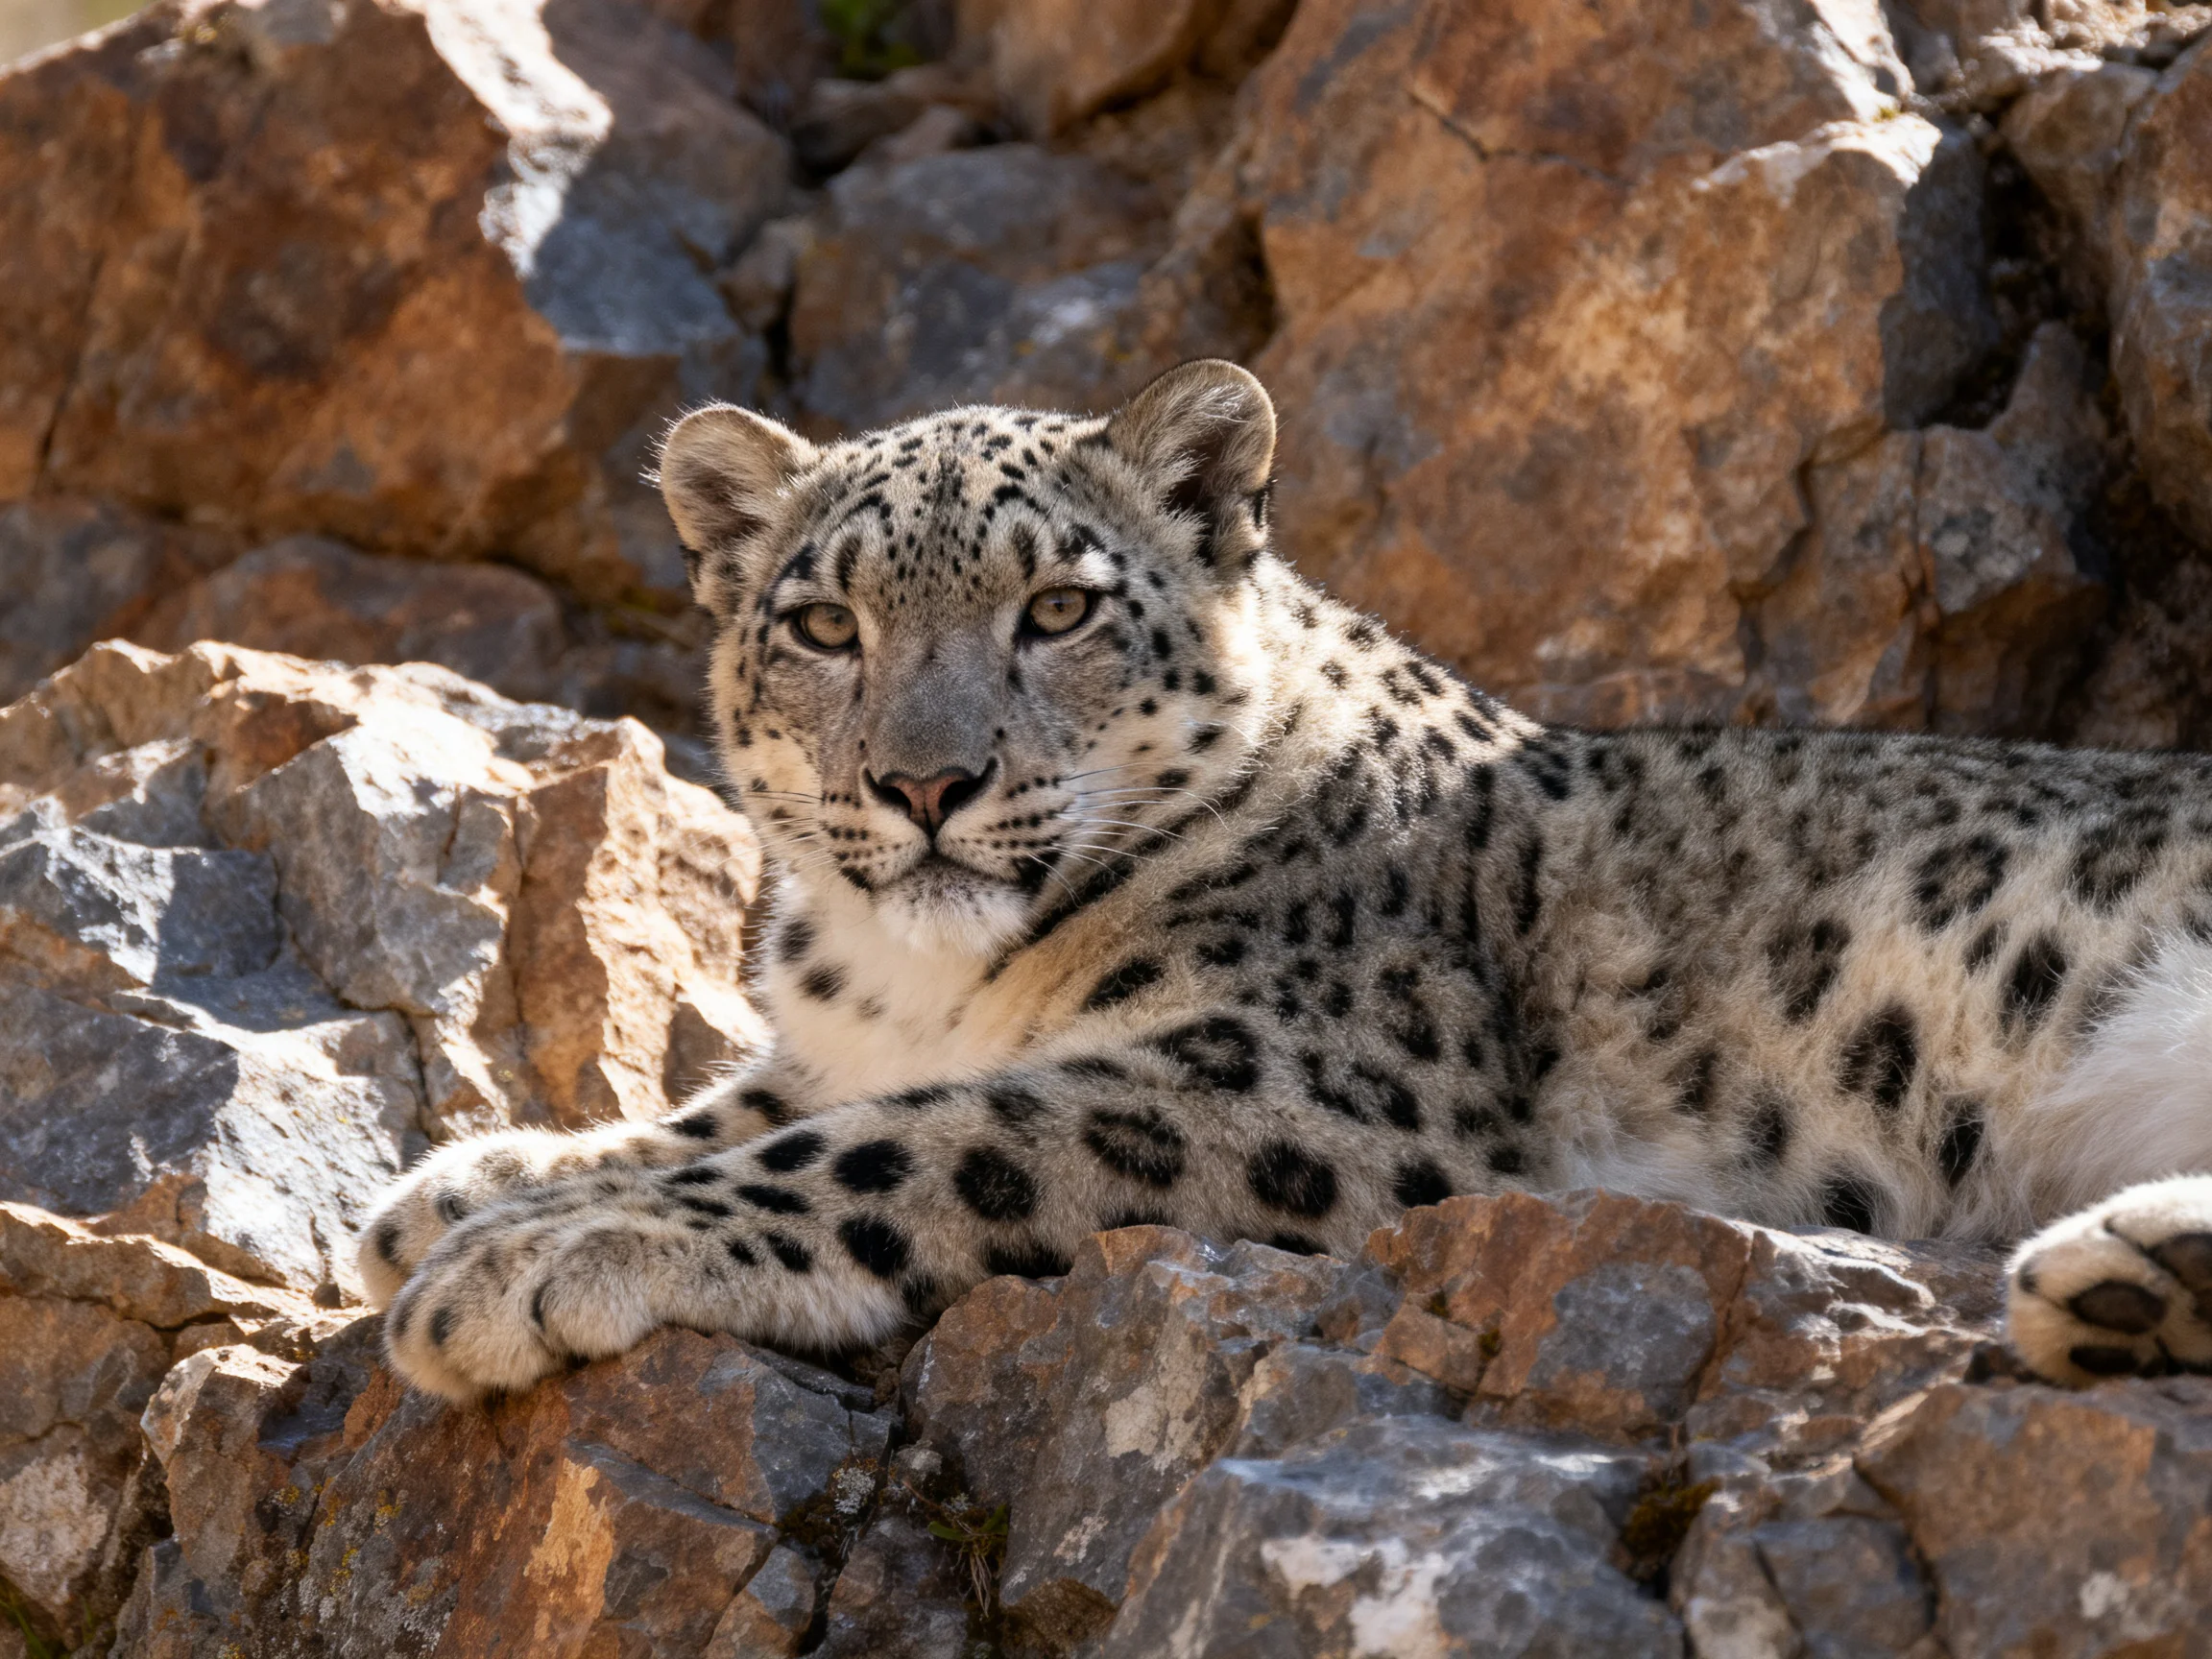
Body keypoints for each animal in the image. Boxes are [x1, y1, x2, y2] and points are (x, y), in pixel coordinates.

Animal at [357, 359, 2212, 1401]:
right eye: (824, 624)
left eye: (1058, 607)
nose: (926, 781)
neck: (920, 975)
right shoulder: (840, 1041)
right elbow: (747, 1104)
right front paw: (476, 1184)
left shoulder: (1302, 1078)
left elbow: (912, 1138)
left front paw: (534, 1257)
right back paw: (2112, 1280)